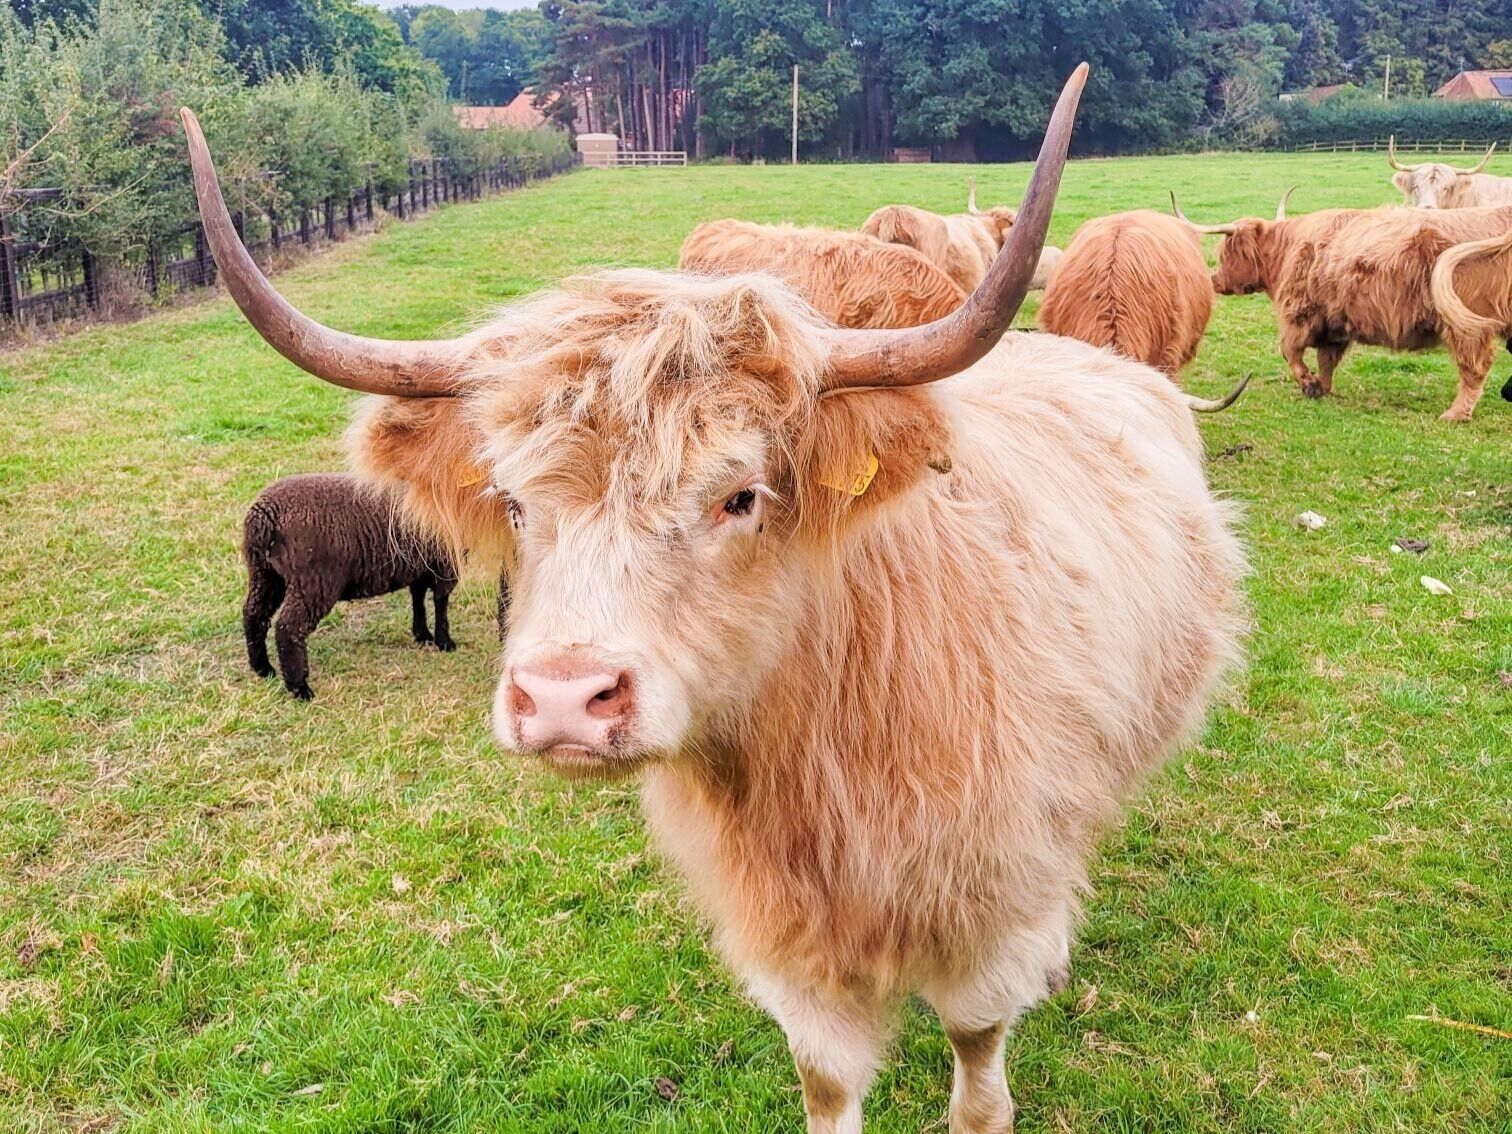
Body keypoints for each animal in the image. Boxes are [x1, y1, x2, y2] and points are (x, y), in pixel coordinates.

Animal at [1174, 191, 1512, 420]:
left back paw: (1455, 414)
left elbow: (1290, 350)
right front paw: (1320, 388)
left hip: (1464, 323)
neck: (1285, 250)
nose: (1214, 280)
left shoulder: (1297, 313)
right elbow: (1327, 359)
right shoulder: (1333, 323)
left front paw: (1308, 384)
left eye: (1224, 253)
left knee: (1475, 366)